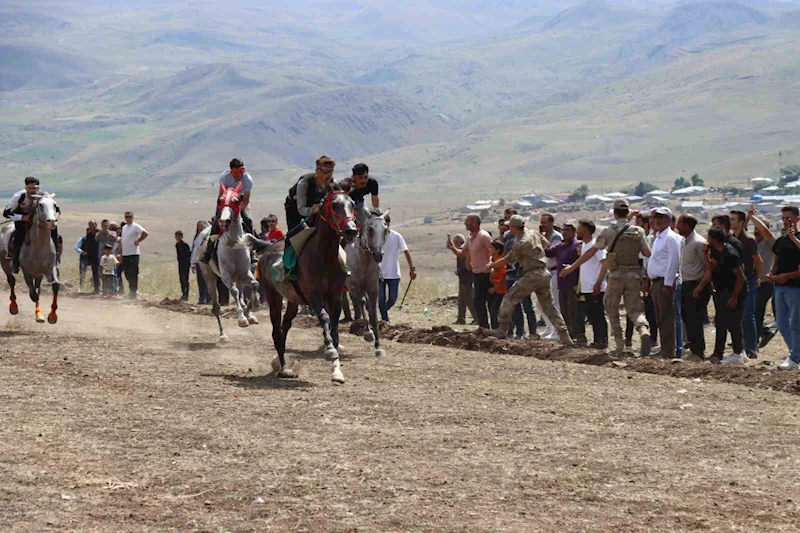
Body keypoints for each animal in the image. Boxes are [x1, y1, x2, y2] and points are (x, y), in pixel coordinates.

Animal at [0, 193, 60, 322]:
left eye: (54, 205)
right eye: (41, 205)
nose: (52, 221)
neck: (39, 246)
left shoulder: (49, 268)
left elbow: (54, 286)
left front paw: (52, 316)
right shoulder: (26, 271)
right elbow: (33, 294)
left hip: (38, 273)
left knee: (37, 287)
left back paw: (39, 315)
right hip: (5, 264)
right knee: (12, 281)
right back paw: (14, 307)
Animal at [198, 181, 260, 342]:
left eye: (236, 200)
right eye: (220, 200)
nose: (223, 221)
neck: (233, 244)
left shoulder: (245, 272)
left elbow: (255, 285)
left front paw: (248, 313)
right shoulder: (226, 276)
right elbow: (234, 291)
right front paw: (242, 319)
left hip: (239, 277)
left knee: (244, 292)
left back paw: (249, 313)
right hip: (209, 277)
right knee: (216, 306)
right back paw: (223, 335)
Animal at [242, 189, 358, 380]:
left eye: (352, 204)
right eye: (334, 205)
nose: (351, 231)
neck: (325, 257)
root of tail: (267, 248)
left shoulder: (335, 297)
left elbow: (334, 329)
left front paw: (336, 371)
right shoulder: (313, 295)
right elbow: (324, 318)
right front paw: (330, 351)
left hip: (293, 300)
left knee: (285, 326)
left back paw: (280, 363)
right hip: (273, 295)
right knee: (276, 330)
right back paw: (283, 367)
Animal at [346, 205, 390, 358]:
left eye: (385, 230)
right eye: (370, 229)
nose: (378, 255)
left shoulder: (372, 287)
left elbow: (373, 315)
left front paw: (378, 347)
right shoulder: (354, 286)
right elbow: (362, 303)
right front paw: (368, 333)